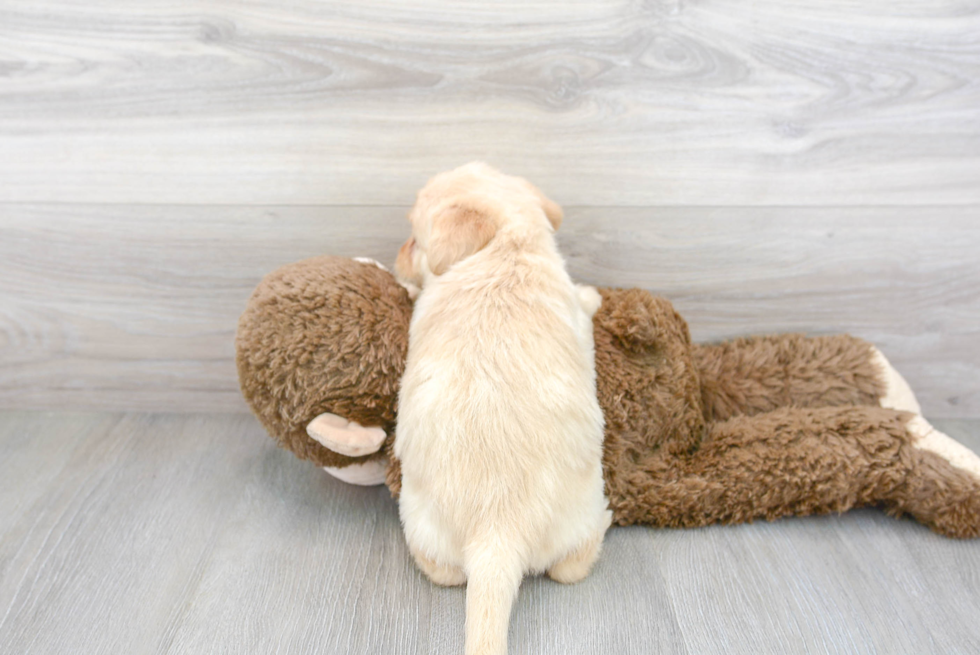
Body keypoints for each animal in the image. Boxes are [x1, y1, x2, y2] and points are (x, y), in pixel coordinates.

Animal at [392, 164, 608, 655]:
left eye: (413, 239)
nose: (395, 257)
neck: (506, 246)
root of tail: (498, 532)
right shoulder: (576, 315)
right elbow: (584, 305)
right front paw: (593, 292)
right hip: (582, 510)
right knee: (571, 565)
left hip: (420, 522)